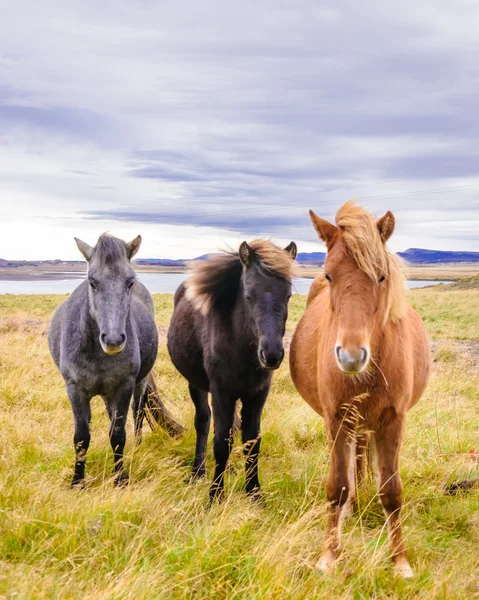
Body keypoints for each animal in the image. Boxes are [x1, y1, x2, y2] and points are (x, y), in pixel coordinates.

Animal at [48, 232, 158, 486]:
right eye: (92, 282)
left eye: (130, 282)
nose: (113, 339)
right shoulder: (75, 389)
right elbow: (81, 437)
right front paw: (77, 481)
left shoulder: (124, 386)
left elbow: (117, 434)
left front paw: (120, 478)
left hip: (140, 383)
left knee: (138, 412)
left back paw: (138, 444)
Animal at [168, 237, 296, 500]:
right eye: (248, 296)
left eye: (288, 295)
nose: (272, 354)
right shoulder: (222, 393)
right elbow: (221, 443)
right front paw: (215, 495)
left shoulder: (257, 395)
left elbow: (252, 442)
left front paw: (254, 493)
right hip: (195, 384)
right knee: (203, 421)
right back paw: (198, 472)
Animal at [290, 202, 434, 576]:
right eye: (329, 276)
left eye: (381, 276)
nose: (351, 356)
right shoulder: (337, 419)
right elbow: (338, 486)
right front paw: (329, 555)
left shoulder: (394, 421)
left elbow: (392, 491)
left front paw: (400, 561)